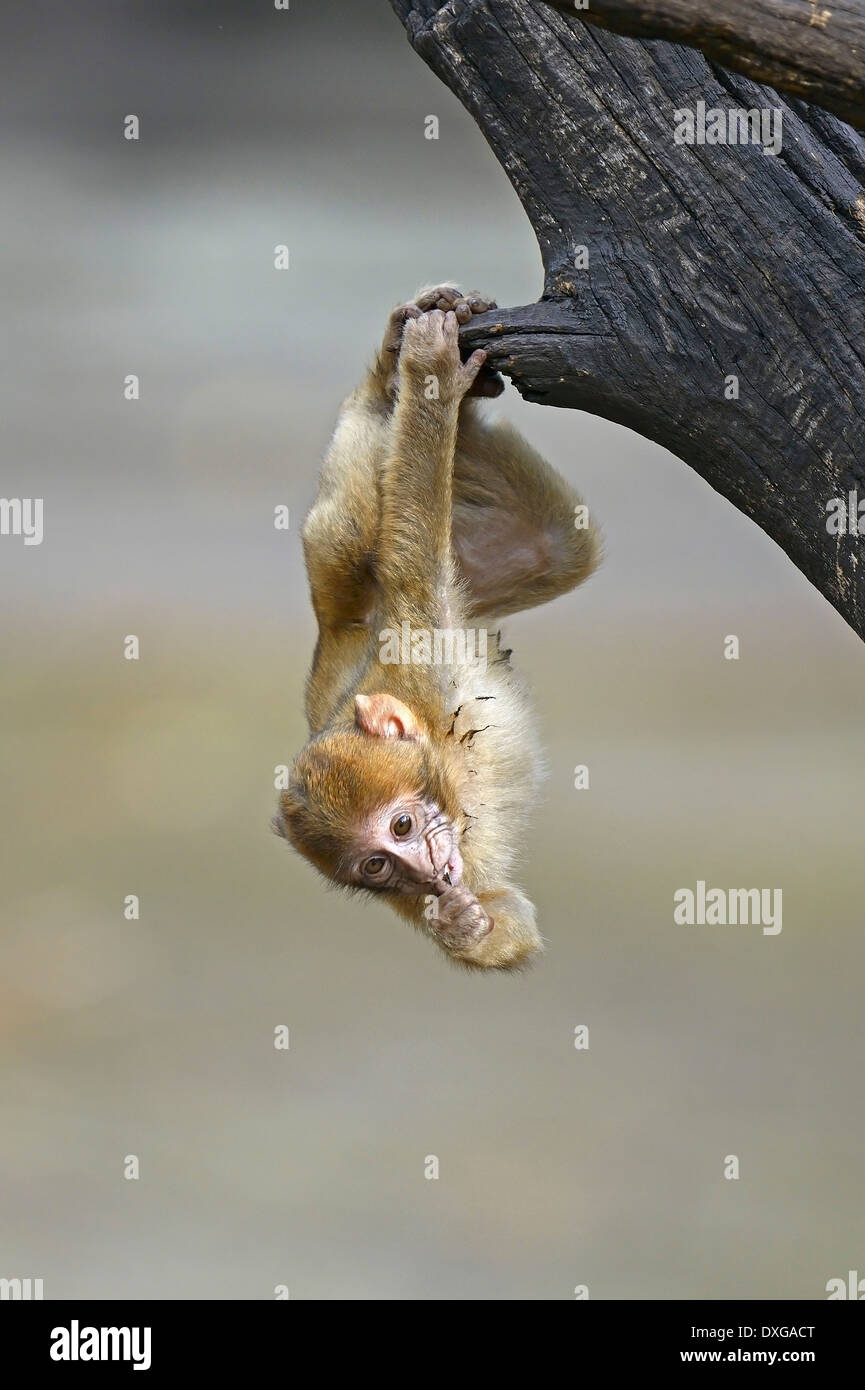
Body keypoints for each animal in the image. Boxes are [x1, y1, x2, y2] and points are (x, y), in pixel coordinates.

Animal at [278, 287, 603, 973]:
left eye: (401, 827)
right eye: (377, 867)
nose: (423, 870)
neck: (443, 760)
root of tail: (340, 635)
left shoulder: (421, 652)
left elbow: (412, 544)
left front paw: (430, 375)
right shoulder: (425, 887)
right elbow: (508, 920)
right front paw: (461, 926)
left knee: (353, 538)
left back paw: (404, 376)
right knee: (551, 546)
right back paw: (401, 373)